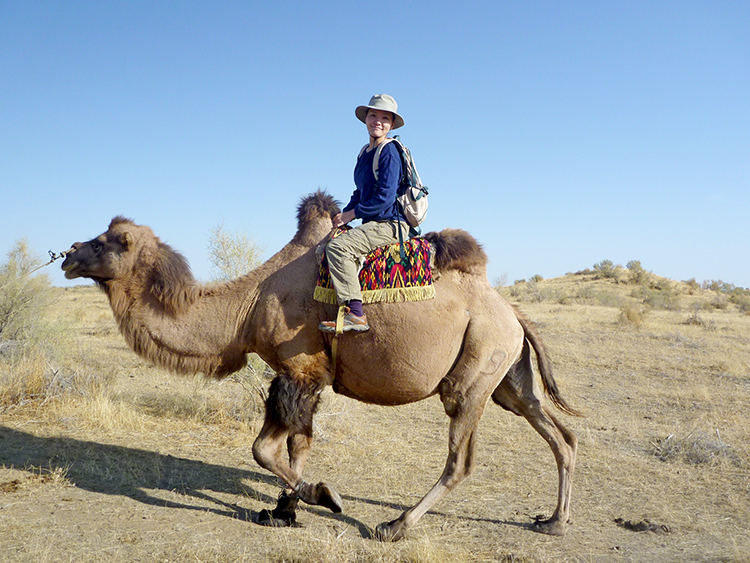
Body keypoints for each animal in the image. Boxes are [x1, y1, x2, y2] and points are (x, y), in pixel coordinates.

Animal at [63, 191, 580, 540]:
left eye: (112, 241)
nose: (68, 255)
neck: (247, 307)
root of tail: (512, 312)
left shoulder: (301, 369)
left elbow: (264, 450)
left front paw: (323, 497)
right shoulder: (296, 378)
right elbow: (297, 446)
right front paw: (284, 511)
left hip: (472, 374)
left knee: (461, 461)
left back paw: (394, 526)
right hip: (507, 376)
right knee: (560, 434)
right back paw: (554, 522)